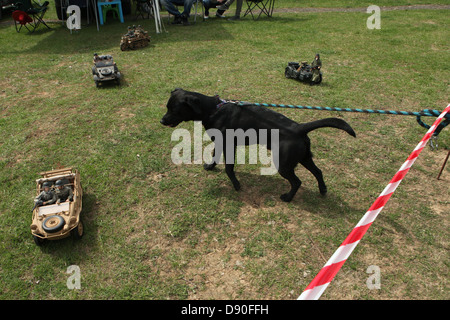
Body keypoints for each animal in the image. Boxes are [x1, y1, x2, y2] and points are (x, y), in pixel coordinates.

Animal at [161, 89, 356, 201]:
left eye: (174, 109)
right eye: (167, 107)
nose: (162, 121)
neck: (212, 109)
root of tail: (299, 127)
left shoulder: (229, 146)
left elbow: (229, 168)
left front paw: (236, 185)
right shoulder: (220, 143)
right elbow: (215, 156)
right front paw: (210, 167)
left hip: (284, 164)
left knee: (297, 182)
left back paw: (287, 197)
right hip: (304, 157)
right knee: (318, 172)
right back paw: (322, 190)